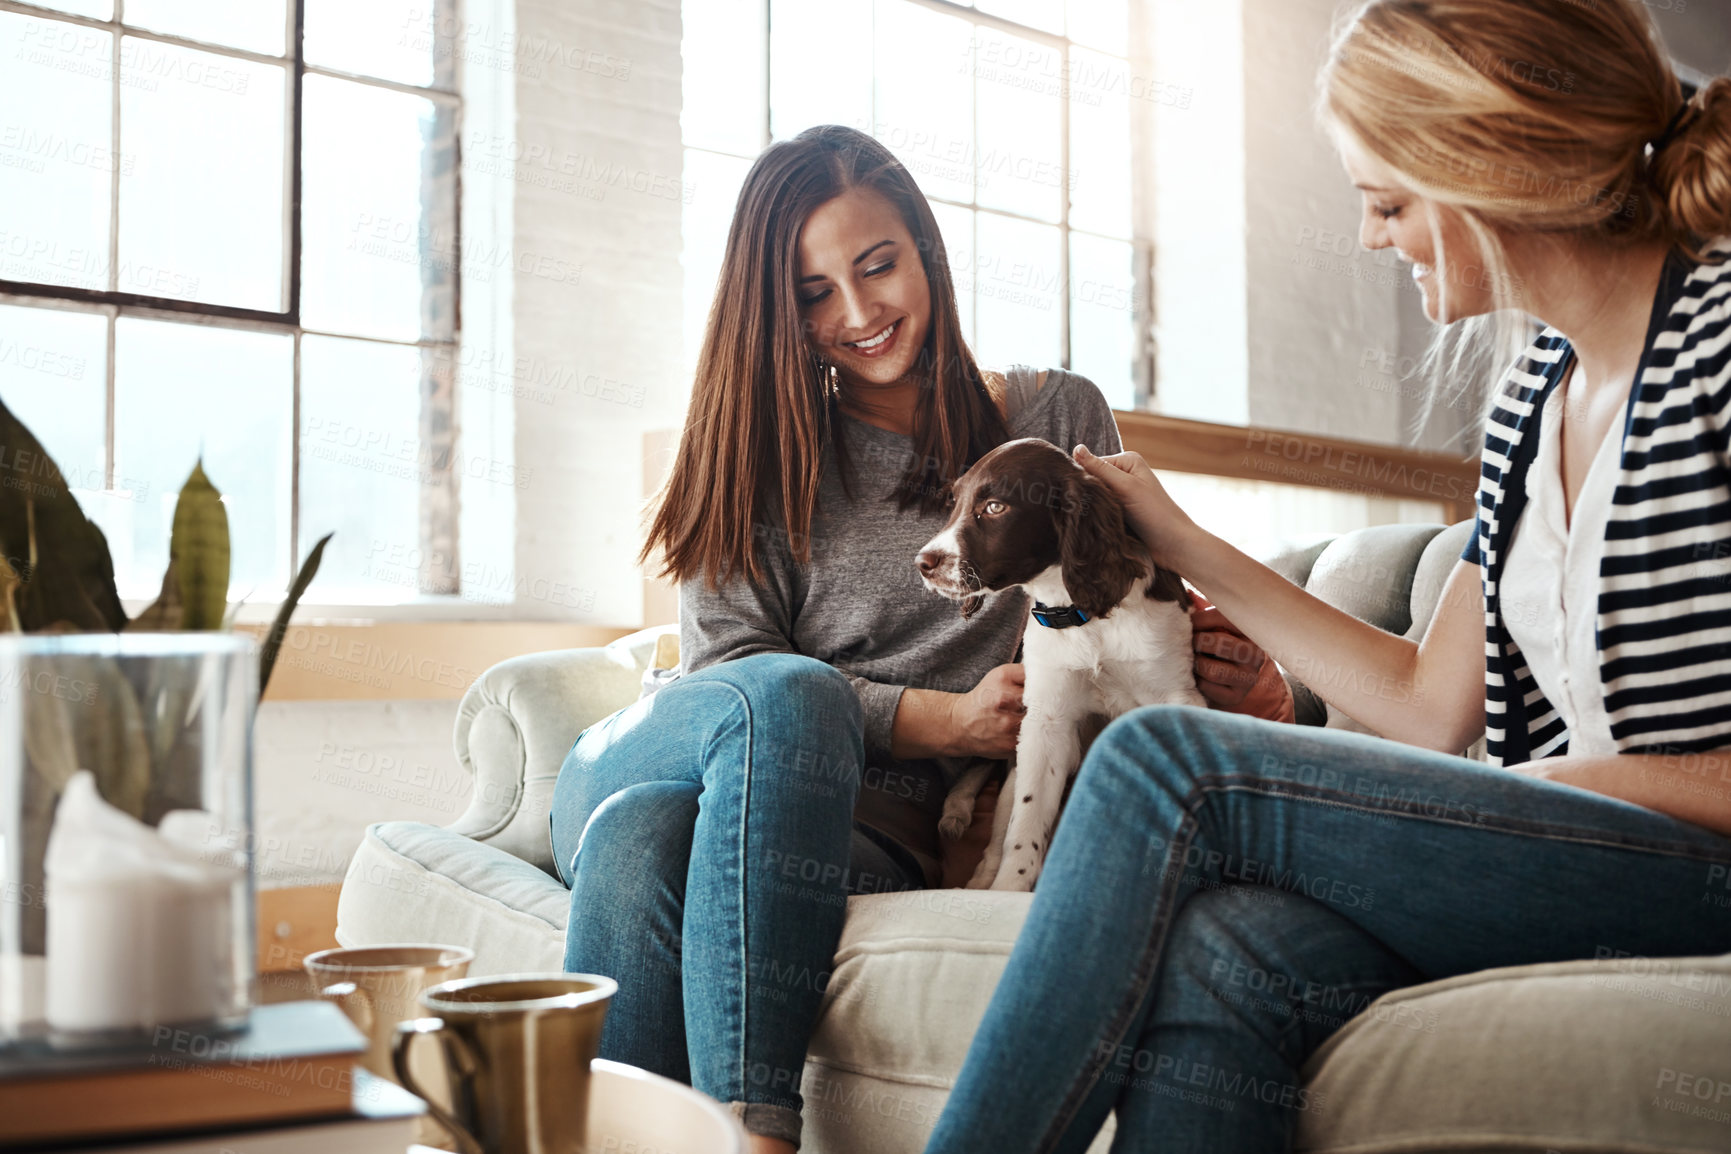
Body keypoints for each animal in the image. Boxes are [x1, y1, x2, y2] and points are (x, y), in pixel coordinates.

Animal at [920, 437, 1204, 892]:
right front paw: (1010, 889)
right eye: (955, 502)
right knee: (999, 831)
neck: (1080, 613)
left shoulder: (1176, 694)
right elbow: (1026, 822)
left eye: (995, 507)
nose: (923, 564)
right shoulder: (1046, 720)